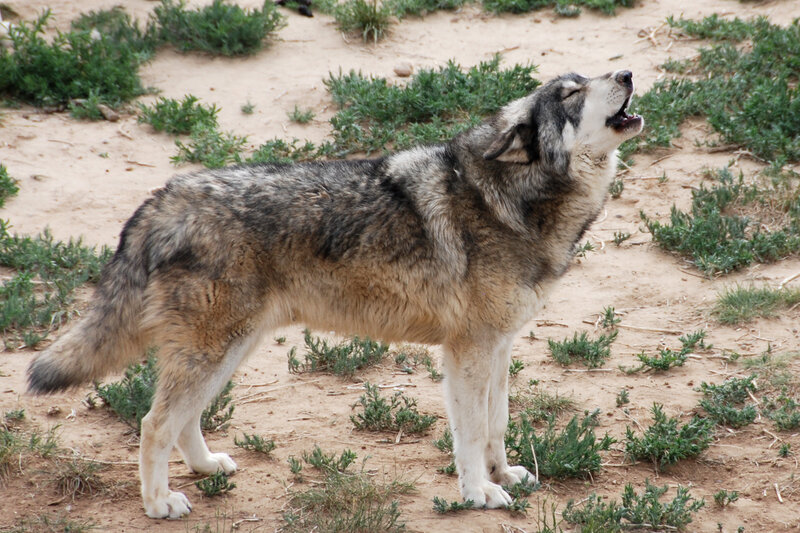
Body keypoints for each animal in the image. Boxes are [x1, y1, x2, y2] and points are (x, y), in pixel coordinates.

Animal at [28, 70, 643, 518]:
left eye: (586, 80)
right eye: (571, 95)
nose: (629, 72)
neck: (512, 200)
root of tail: (164, 196)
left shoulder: (498, 348)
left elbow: (497, 424)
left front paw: (504, 474)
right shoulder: (467, 351)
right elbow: (469, 433)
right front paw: (479, 494)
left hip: (229, 352)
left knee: (181, 420)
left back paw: (206, 470)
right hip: (214, 351)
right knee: (153, 424)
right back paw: (159, 504)